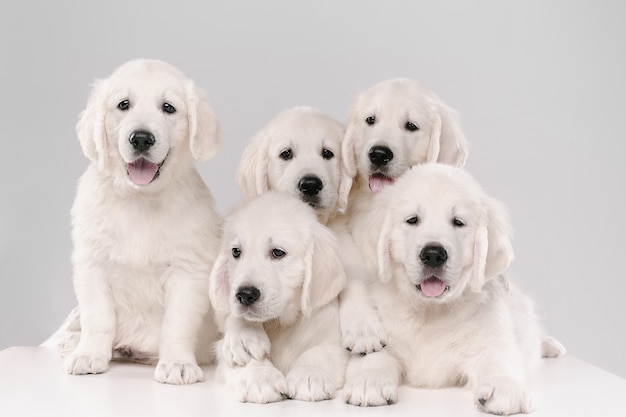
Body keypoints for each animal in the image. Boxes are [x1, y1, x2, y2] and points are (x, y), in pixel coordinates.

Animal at [44, 58, 221, 384]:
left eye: (168, 107)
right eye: (123, 104)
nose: (140, 138)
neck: (140, 199)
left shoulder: (187, 270)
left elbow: (177, 324)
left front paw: (177, 363)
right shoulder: (91, 262)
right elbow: (97, 316)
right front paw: (89, 354)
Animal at [208, 190, 346, 402]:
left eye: (278, 252)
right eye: (236, 252)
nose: (245, 295)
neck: (281, 323)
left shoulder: (332, 342)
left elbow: (318, 352)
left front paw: (309, 375)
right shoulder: (223, 350)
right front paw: (260, 376)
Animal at [344, 163, 548, 412]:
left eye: (458, 222)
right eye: (412, 220)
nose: (433, 254)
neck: (430, 312)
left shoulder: (491, 335)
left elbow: (498, 357)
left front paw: (504, 387)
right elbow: (376, 354)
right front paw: (368, 381)